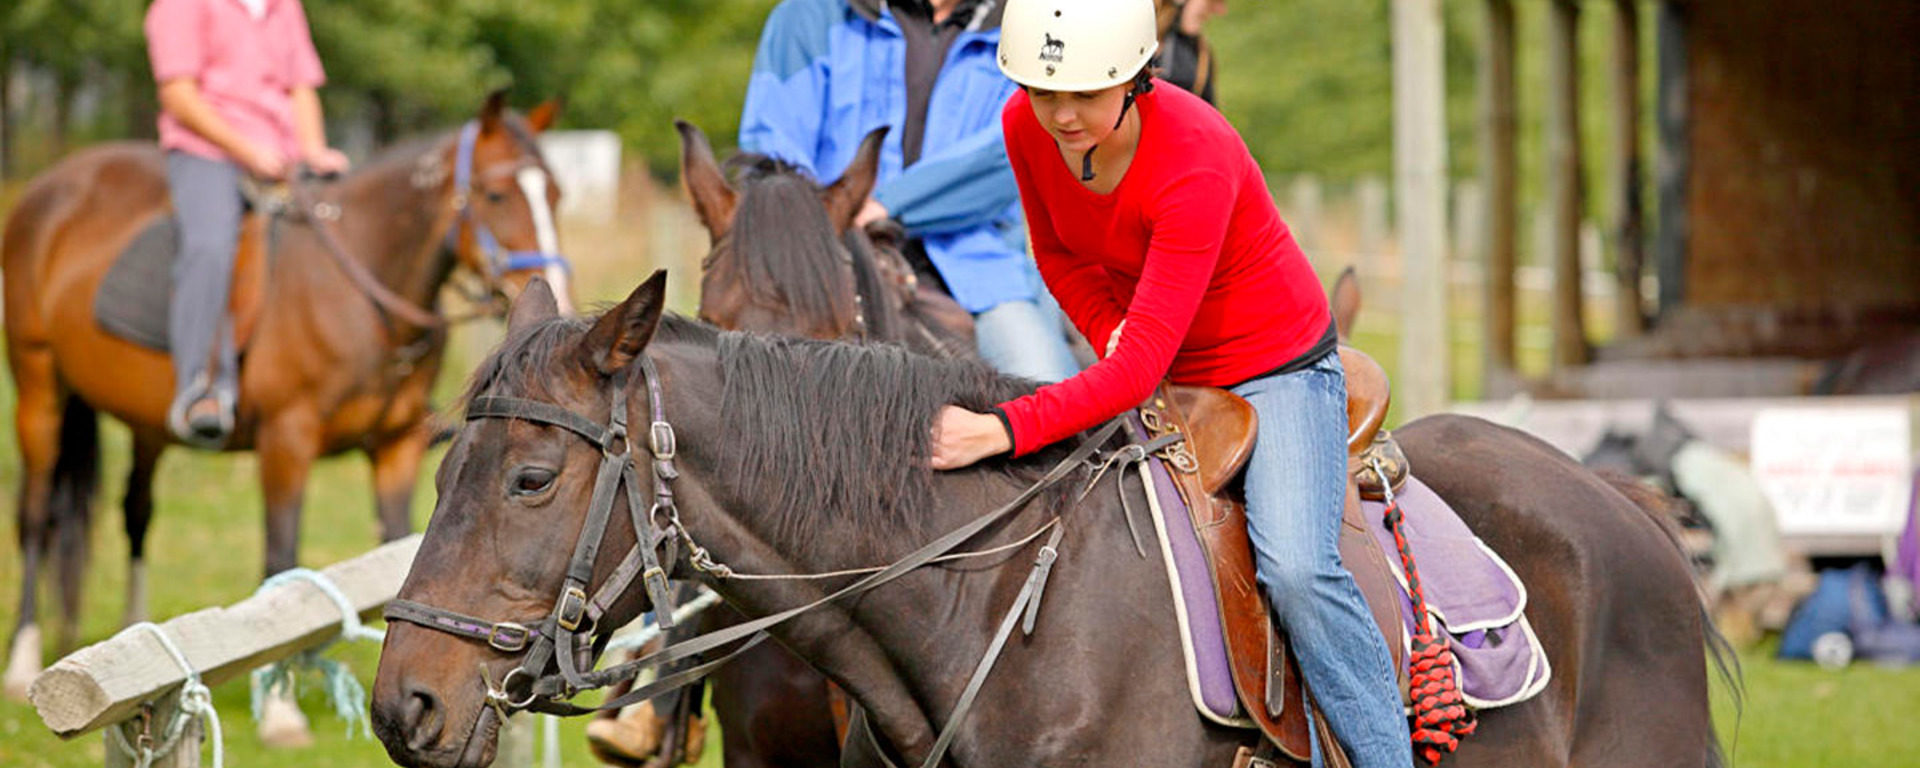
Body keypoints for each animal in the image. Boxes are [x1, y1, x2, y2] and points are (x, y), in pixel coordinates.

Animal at [3, 90, 572, 695]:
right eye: (495, 194)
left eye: (555, 194)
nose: (556, 294)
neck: (361, 290)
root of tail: (53, 185)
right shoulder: (286, 441)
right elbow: (281, 560)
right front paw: (280, 707)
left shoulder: (396, 446)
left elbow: (400, 548)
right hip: (38, 386)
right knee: (35, 514)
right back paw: (23, 658)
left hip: (147, 421)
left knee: (136, 510)